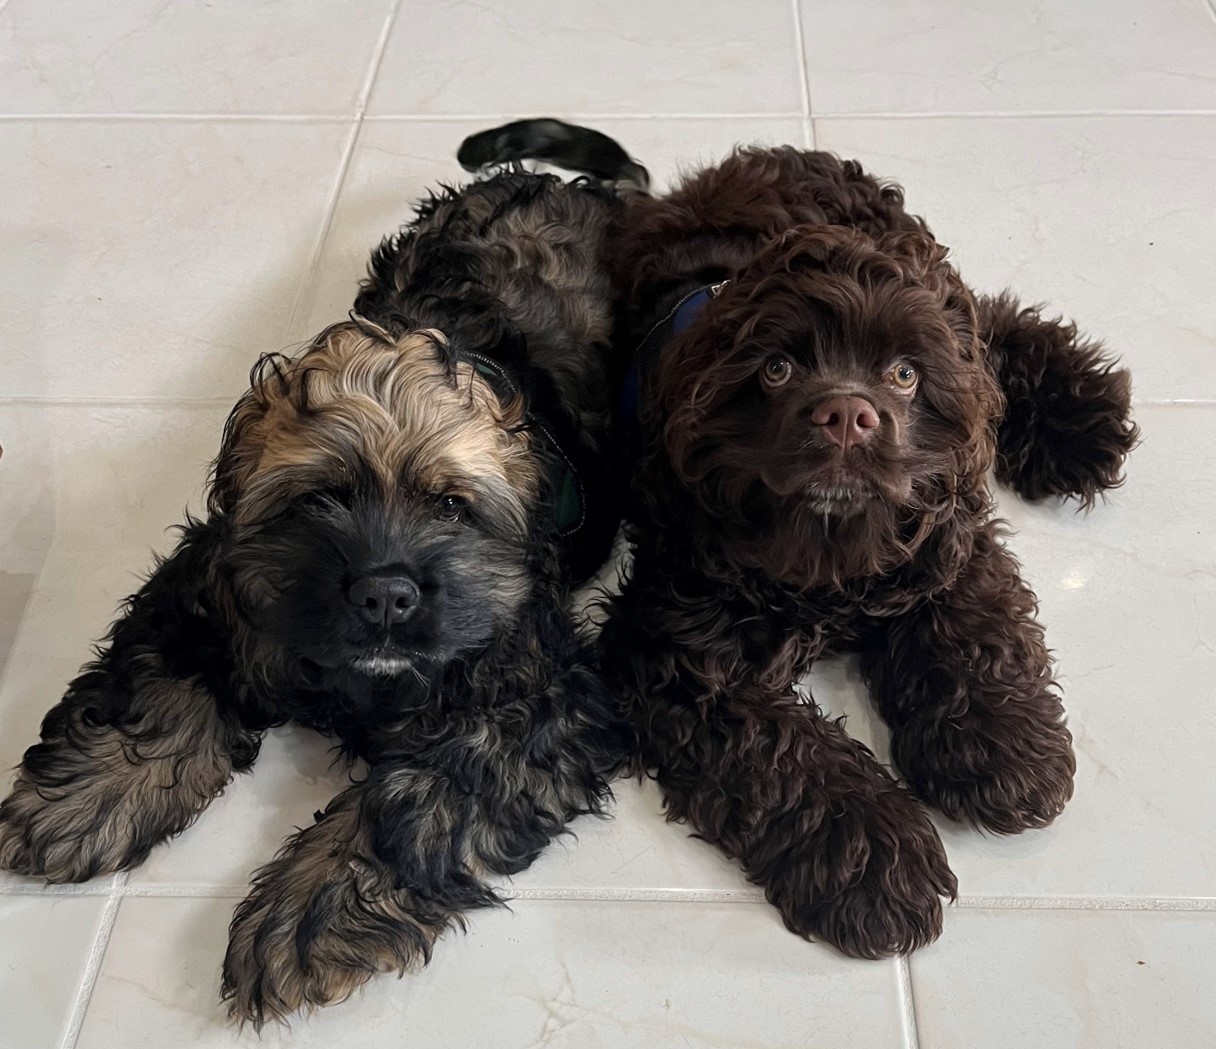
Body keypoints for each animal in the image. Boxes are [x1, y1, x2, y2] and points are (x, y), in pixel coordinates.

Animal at [0, 137, 646, 1025]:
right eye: (319, 498)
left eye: (451, 504)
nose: (385, 594)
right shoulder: (221, 589)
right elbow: (150, 689)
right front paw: (77, 802)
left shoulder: (539, 693)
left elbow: (424, 794)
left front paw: (311, 910)